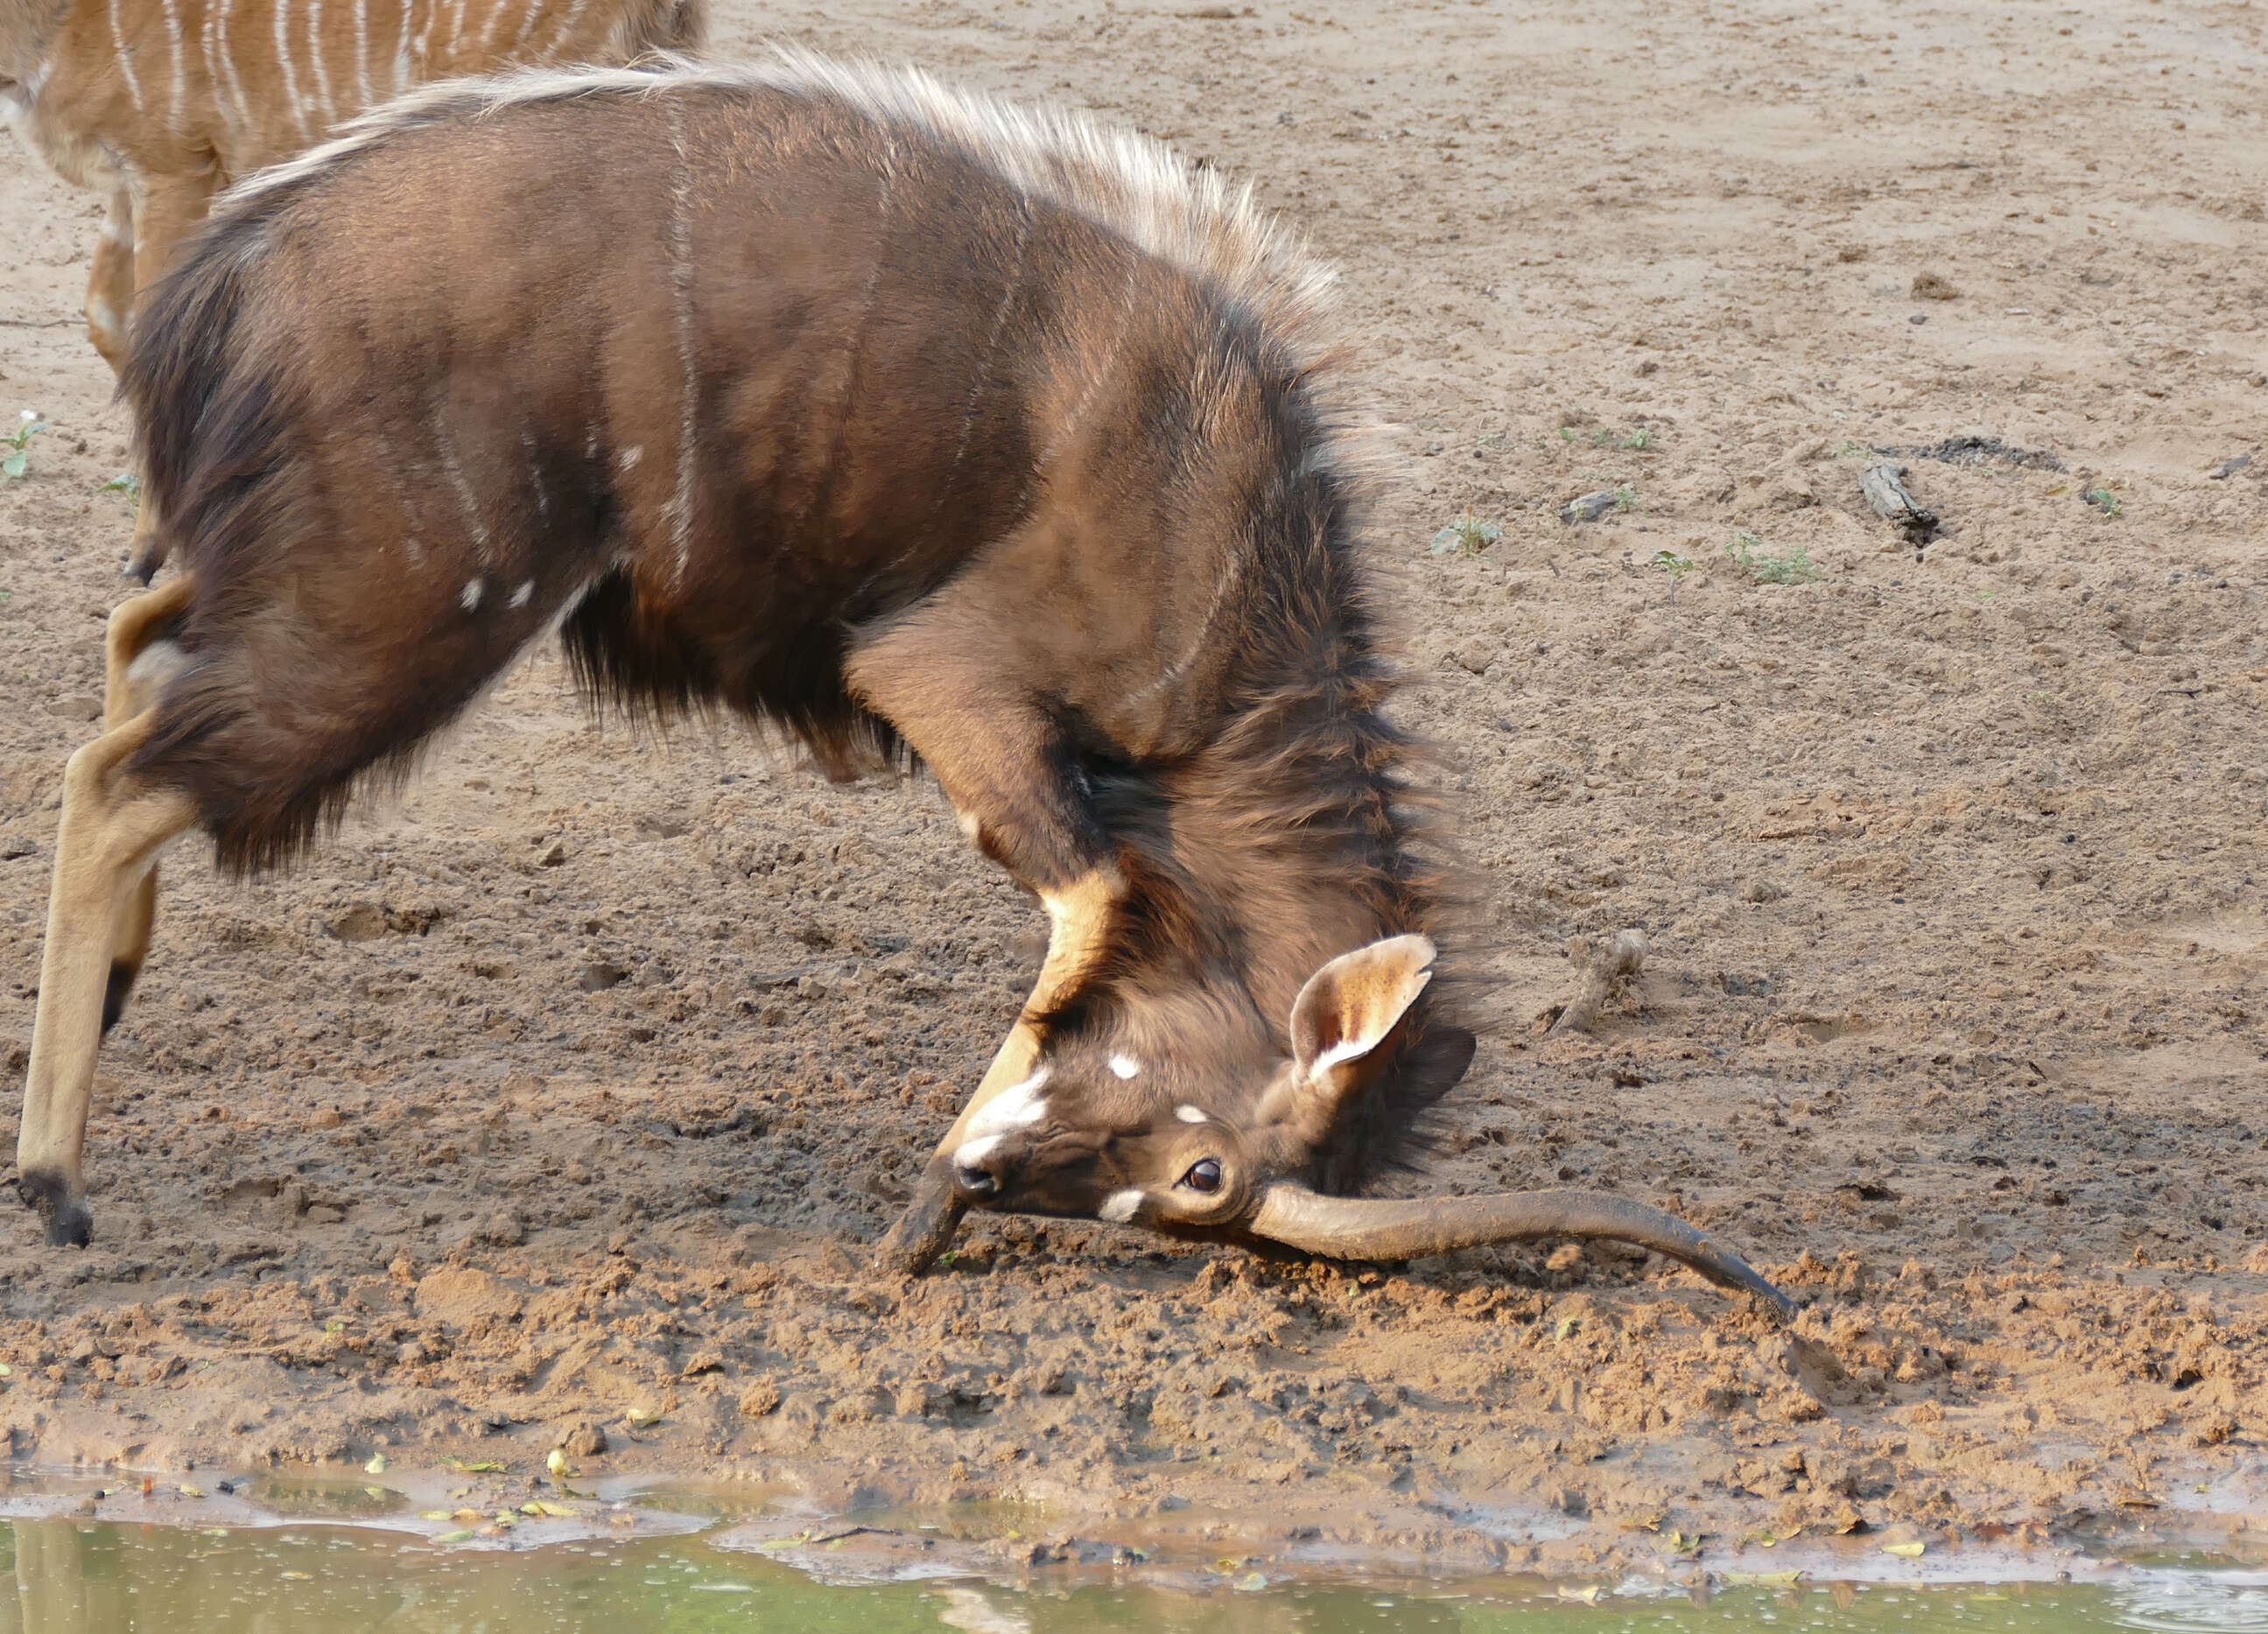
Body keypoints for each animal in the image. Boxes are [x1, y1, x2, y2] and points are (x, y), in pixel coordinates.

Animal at [13, 57, 1787, 1323]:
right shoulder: (939, 682)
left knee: (126, 660)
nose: (1011, 1188)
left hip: (264, 577)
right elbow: (1095, 889)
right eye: (1206, 1173)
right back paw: (54, 1185)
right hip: (397, 616)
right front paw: (924, 1203)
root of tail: (217, 280)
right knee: (120, 776)